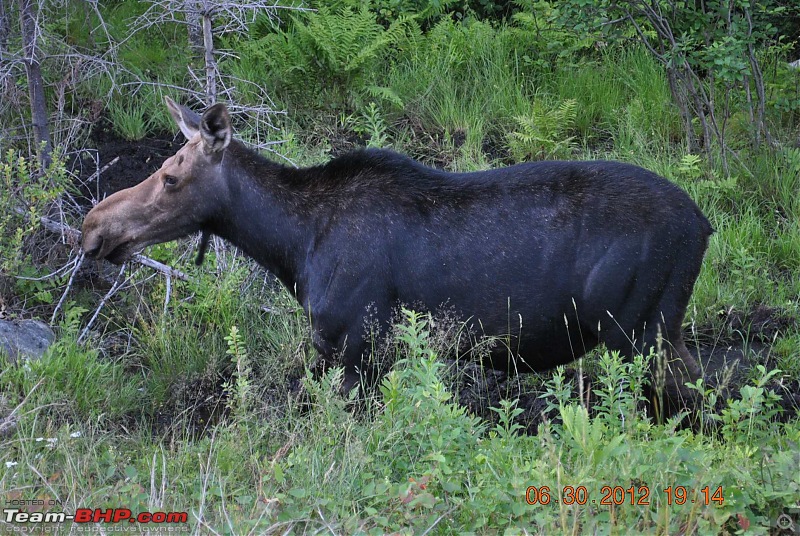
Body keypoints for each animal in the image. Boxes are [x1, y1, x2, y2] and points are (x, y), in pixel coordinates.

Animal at [83, 97, 712, 414]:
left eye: (169, 177)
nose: (92, 227)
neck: (293, 246)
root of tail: (704, 227)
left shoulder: (357, 346)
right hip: (660, 330)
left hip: (636, 332)